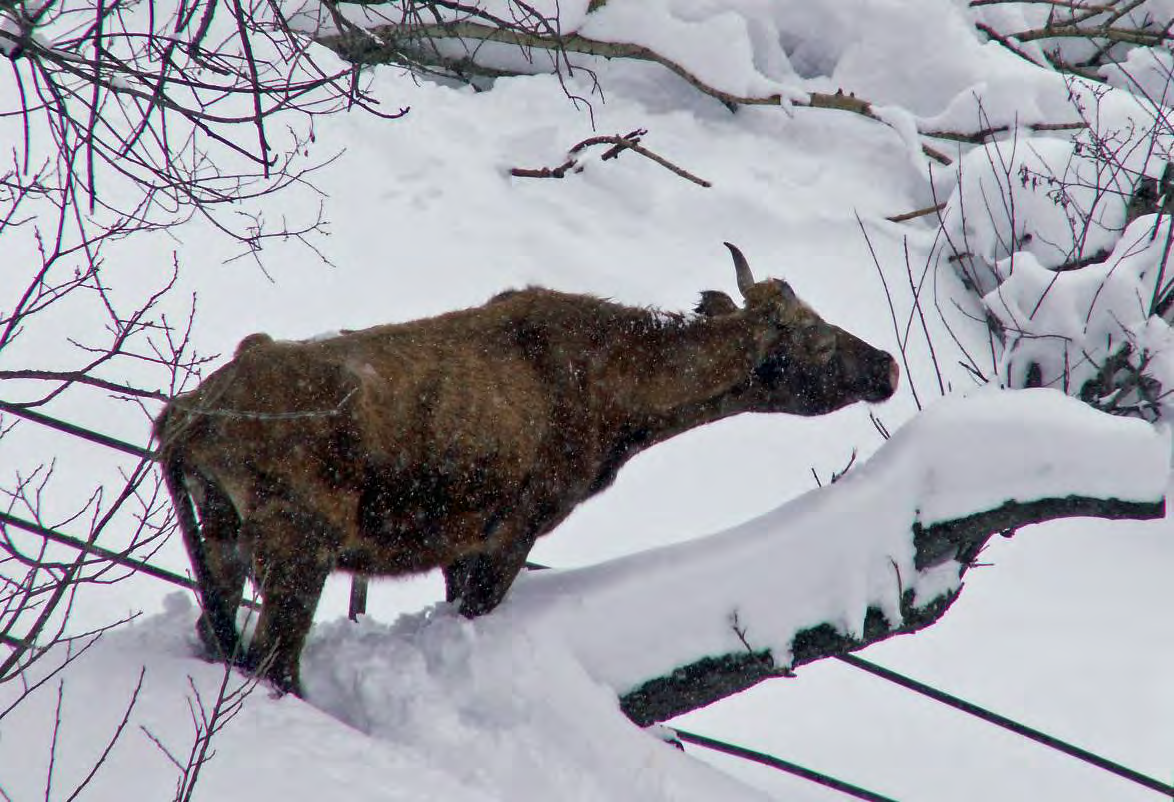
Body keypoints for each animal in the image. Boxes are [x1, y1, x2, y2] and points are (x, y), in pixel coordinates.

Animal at [156, 241, 896, 695]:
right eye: (817, 337)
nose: (887, 365)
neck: (627, 408)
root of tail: (181, 420)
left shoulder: (462, 542)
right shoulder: (516, 527)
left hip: (219, 534)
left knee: (216, 631)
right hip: (299, 541)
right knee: (273, 660)